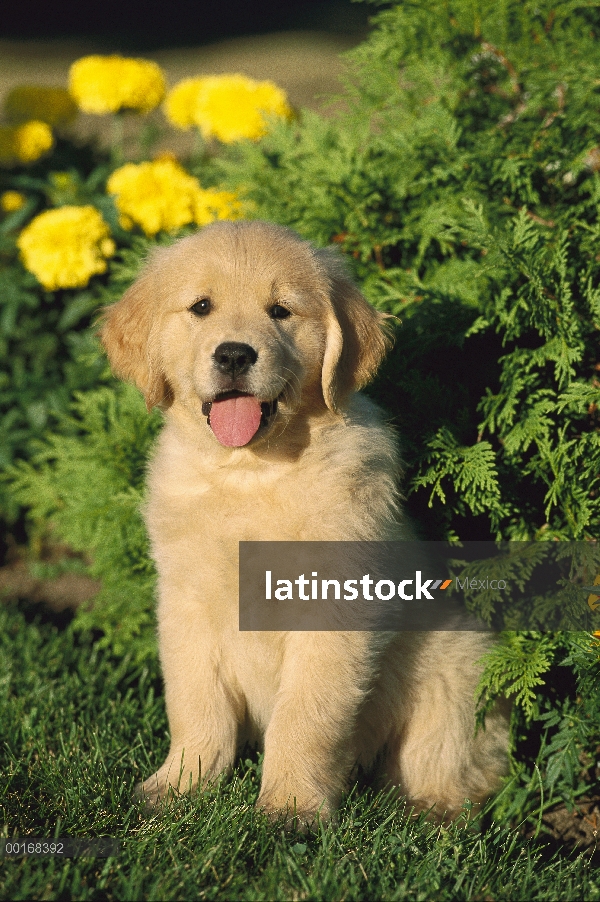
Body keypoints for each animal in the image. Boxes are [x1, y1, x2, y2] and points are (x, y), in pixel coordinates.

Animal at [101, 221, 508, 828]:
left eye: (281, 311)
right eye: (201, 307)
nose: (234, 354)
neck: (252, 472)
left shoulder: (334, 608)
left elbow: (307, 716)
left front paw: (290, 807)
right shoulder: (186, 601)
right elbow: (195, 704)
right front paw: (180, 786)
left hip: (458, 661)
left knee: (446, 759)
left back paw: (428, 810)